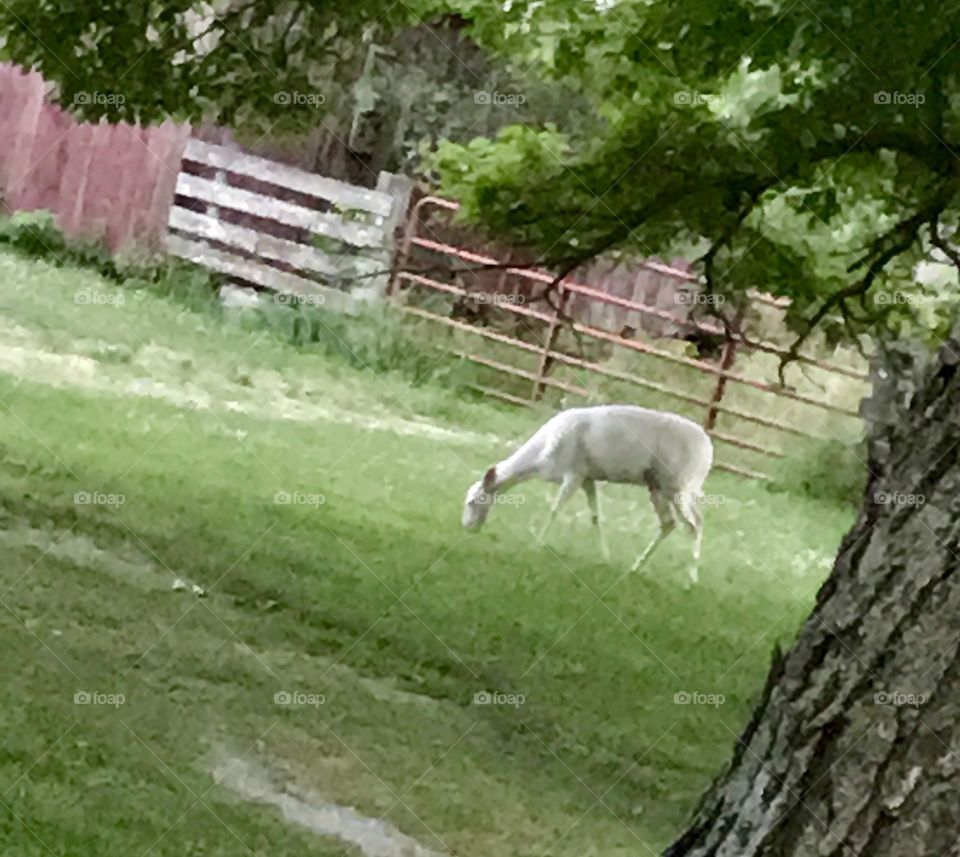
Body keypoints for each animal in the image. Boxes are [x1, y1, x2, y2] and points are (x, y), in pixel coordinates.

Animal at [462, 404, 716, 584]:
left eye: (473, 501)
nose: (467, 527)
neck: (541, 459)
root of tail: (708, 451)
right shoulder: (588, 478)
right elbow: (596, 517)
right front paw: (605, 556)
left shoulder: (573, 473)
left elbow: (555, 510)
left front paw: (536, 543)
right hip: (658, 486)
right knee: (670, 523)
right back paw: (635, 567)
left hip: (679, 484)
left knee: (695, 525)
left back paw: (691, 579)